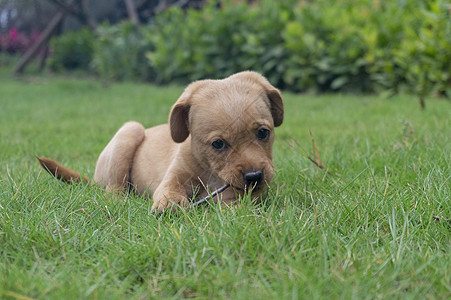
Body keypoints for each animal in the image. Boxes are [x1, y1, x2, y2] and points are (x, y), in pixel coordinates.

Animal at [39, 71, 286, 212]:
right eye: (218, 144)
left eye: (263, 133)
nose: (254, 176)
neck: (208, 170)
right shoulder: (173, 176)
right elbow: (168, 190)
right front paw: (169, 204)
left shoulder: (238, 196)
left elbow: (234, 204)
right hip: (129, 132)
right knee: (113, 189)